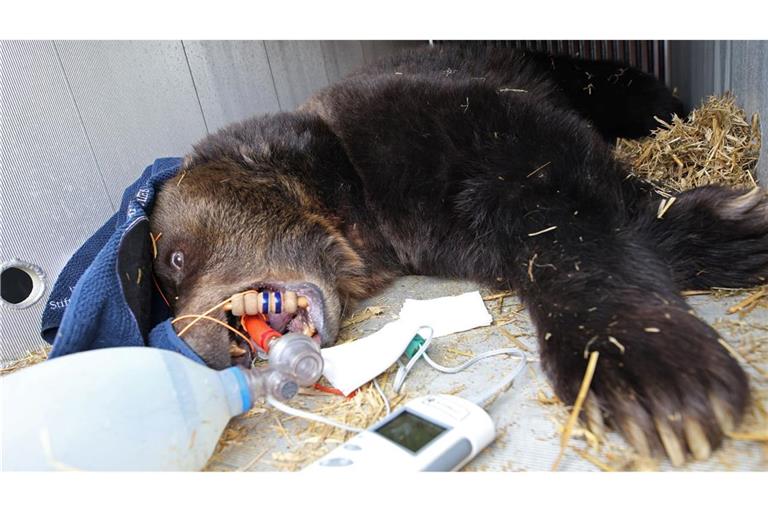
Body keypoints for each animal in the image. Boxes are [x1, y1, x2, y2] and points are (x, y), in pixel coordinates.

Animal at [150, 45, 762, 466]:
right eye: (169, 275)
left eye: (175, 259)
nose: (194, 341)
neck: (355, 206)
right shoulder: (432, 229)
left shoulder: (439, 120)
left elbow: (564, 195)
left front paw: (649, 374)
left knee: (643, 101)